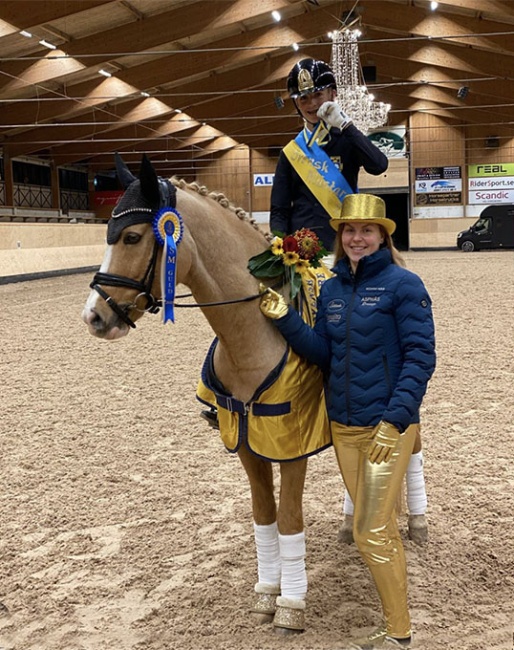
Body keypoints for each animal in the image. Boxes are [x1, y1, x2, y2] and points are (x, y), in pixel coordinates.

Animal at [80, 156, 328, 632]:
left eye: (133, 237)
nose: (94, 317)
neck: (255, 335)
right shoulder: (245, 442)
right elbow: (264, 516)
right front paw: (267, 592)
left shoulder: (293, 445)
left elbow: (290, 519)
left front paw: (292, 604)